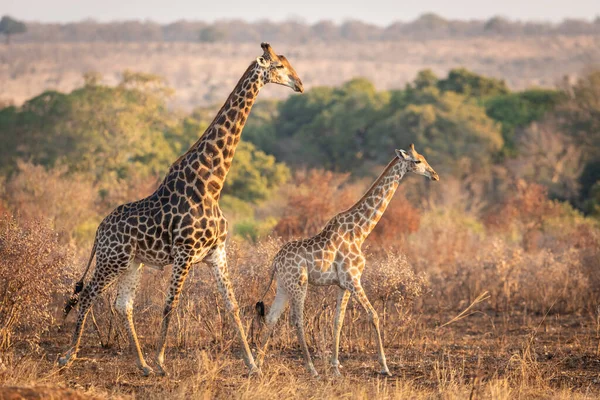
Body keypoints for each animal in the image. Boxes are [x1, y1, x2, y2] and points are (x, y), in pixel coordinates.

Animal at [59, 42, 304, 376]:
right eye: (279, 65)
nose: (300, 84)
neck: (212, 184)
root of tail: (98, 230)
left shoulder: (217, 253)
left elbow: (232, 306)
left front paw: (253, 365)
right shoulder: (184, 253)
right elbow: (170, 304)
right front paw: (162, 362)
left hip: (132, 263)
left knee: (122, 304)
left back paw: (142, 365)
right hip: (113, 259)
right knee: (87, 294)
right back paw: (69, 355)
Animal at [255, 145, 438, 376]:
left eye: (423, 158)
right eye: (417, 161)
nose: (434, 175)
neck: (360, 232)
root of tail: (275, 262)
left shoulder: (343, 284)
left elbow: (338, 321)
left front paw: (335, 366)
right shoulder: (353, 279)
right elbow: (373, 315)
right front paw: (385, 367)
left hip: (283, 285)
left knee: (271, 317)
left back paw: (258, 365)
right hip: (299, 283)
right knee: (296, 320)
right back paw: (311, 368)